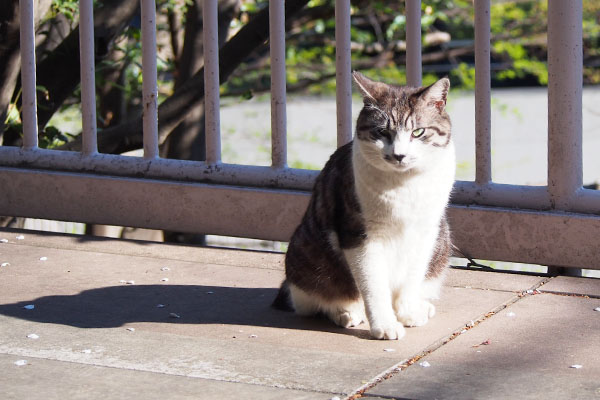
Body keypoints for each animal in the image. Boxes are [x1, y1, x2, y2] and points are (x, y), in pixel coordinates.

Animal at [274, 72, 458, 340]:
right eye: (382, 132)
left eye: (418, 132)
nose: (399, 155)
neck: (405, 185)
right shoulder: (358, 235)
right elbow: (373, 286)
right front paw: (385, 325)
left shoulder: (427, 231)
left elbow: (412, 277)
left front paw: (408, 311)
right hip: (305, 251)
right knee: (317, 300)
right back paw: (346, 312)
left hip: (443, 240)